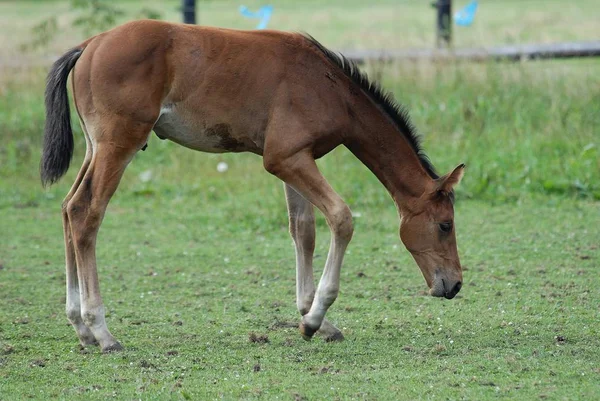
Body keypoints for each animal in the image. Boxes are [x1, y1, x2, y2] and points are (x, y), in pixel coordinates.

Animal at [42, 19, 464, 350]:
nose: (455, 285)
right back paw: (101, 331)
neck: (328, 86)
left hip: (94, 147)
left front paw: (313, 318)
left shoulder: (296, 159)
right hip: (119, 144)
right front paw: (314, 319)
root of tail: (90, 44)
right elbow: (341, 218)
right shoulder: (284, 159)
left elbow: (303, 231)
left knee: (67, 208)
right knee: (86, 213)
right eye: (446, 225)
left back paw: (80, 327)